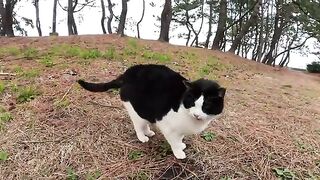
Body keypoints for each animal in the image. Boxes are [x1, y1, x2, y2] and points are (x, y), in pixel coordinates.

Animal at [78, 63, 226, 159]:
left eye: (206, 106)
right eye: (192, 103)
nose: (196, 114)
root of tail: (126, 73)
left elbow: (180, 137)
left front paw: (181, 144)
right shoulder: (168, 126)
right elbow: (174, 141)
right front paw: (178, 152)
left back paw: (148, 132)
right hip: (136, 109)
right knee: (138, 124)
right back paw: (142, 137)